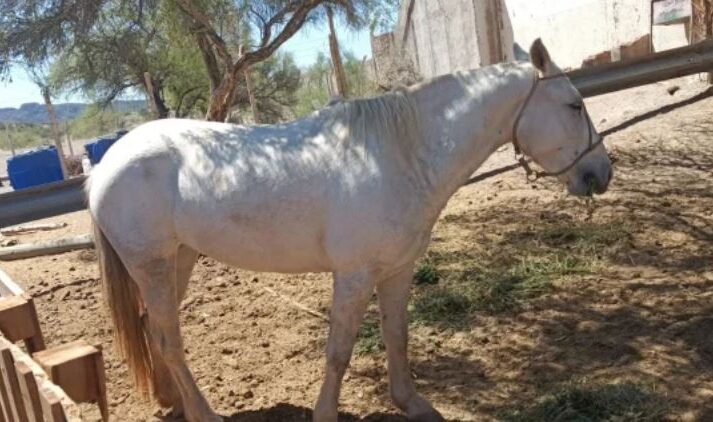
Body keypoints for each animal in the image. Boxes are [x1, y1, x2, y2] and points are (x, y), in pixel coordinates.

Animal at [87, 39, 611, 422]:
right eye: (574, 105)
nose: (601, 173)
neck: (401, 153)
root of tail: (106, 162)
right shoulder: (355, 276)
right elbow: (338, 352)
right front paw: (325, 414)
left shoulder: (398, 270)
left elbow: (397, 335)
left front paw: (413, 404)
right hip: (153, 265)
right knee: (169, 340)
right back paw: (203, 414)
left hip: (179, 259)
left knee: (153, 331)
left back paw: (172, 401)